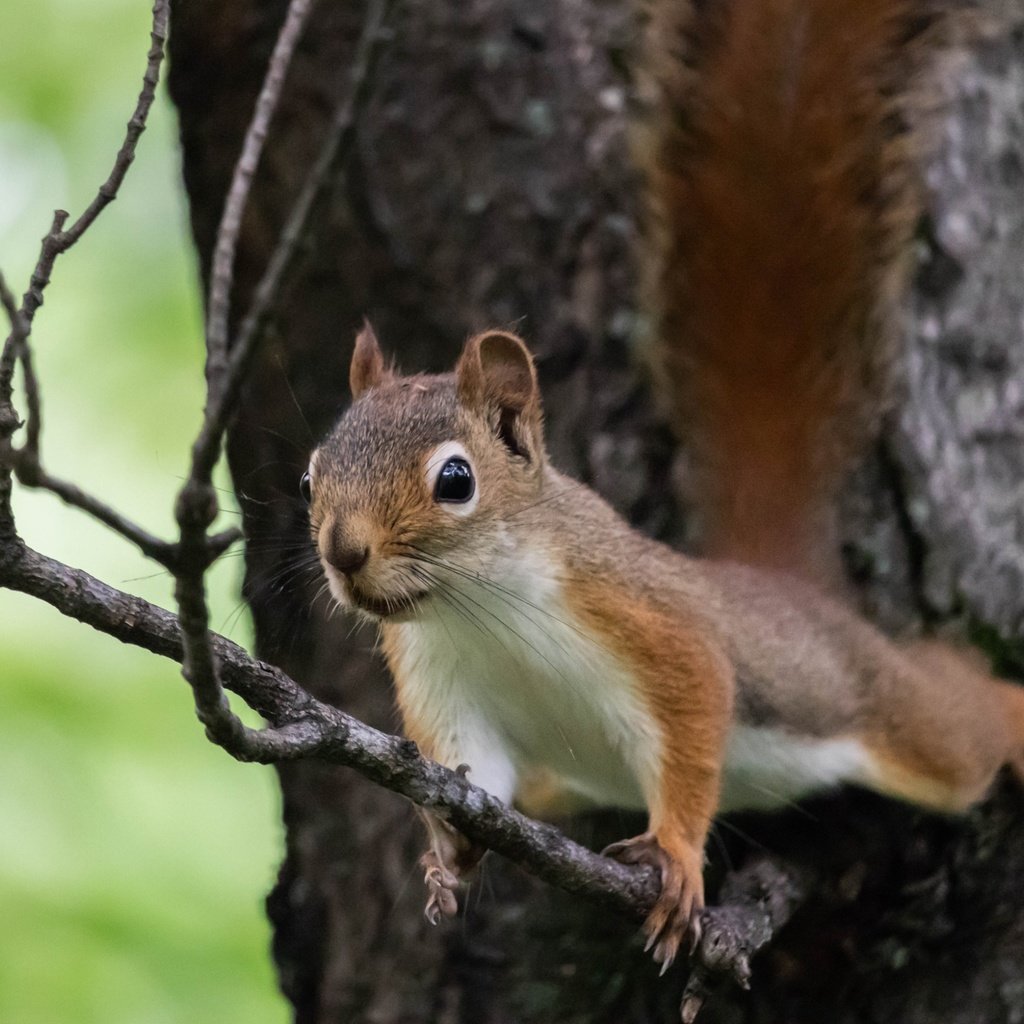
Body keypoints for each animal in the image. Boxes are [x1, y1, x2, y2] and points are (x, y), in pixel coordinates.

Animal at [299, 0, 1019, 974]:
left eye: (455, 479)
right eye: (311, 474)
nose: (344, 552)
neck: (480, 609)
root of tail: (781, 585)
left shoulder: (649, 622)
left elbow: (694, 715)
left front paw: (677, 856)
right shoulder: (444, 687)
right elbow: (475, 775)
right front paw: (446, 853)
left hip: (885, 711)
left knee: (965, 718)